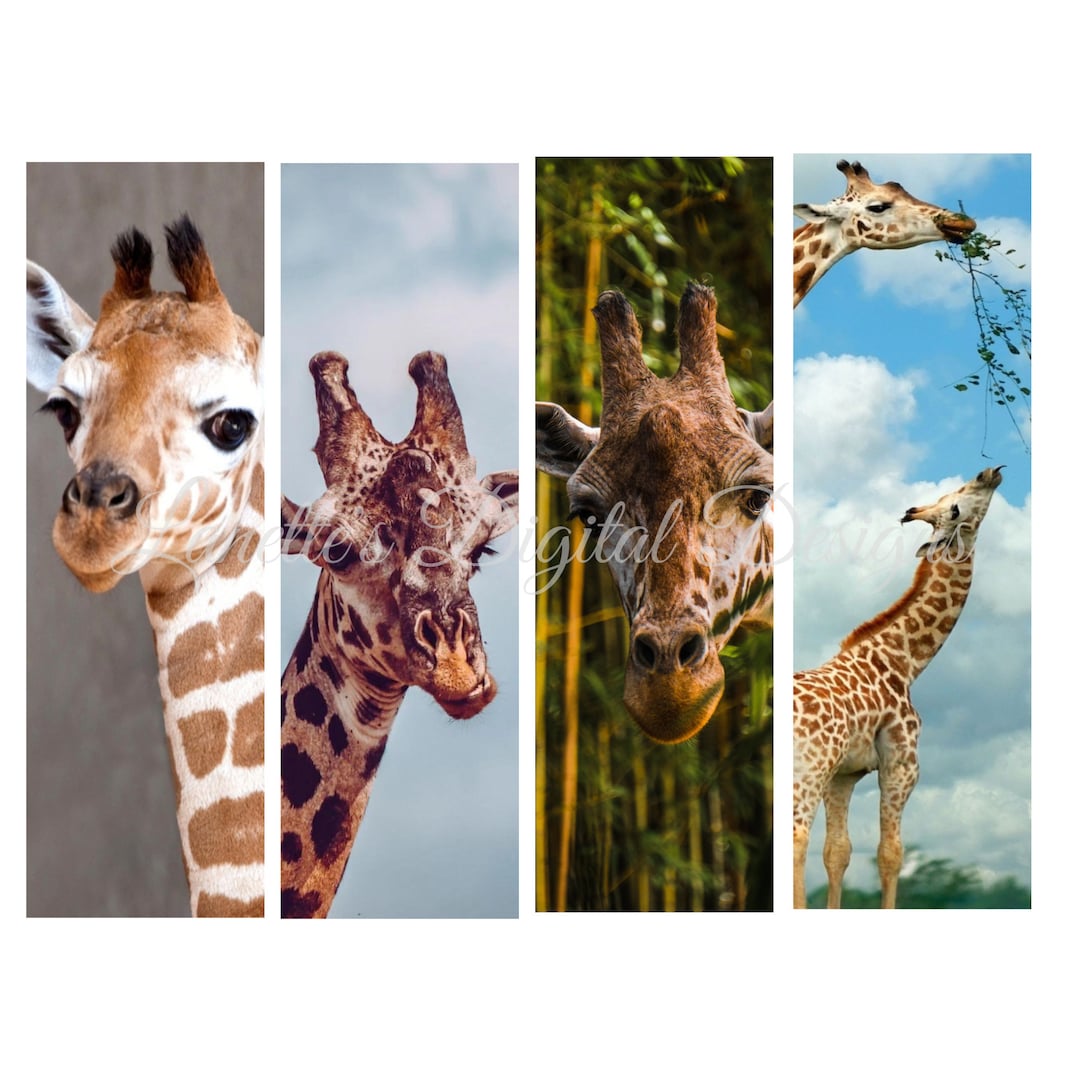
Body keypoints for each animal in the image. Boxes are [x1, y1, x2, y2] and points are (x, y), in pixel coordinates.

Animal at [792, 466, 1003, 909]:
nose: (989, 472)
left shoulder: (844, 774)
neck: (904, 663)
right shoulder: (902, 763)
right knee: (796, 836)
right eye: (956, 504)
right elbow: (891, 853)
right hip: (807, 770)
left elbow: (837, 851)